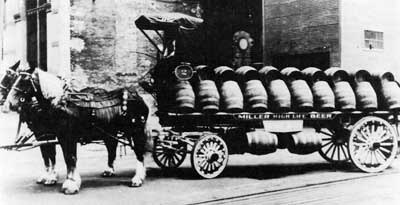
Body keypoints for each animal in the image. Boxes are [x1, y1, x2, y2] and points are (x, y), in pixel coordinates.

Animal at [3, 67, 150, 194]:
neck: (62, 104)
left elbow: (68, 157)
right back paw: (110, 170)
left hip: (136, 131)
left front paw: (70, 184)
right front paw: (59, 179)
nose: (8, 104)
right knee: (112, 147)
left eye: (24, 82)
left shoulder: (66, 137)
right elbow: (58, 157)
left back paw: (137, 178)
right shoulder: (55, 136)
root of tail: (137, 96)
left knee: (139, 152)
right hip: (111, 133)